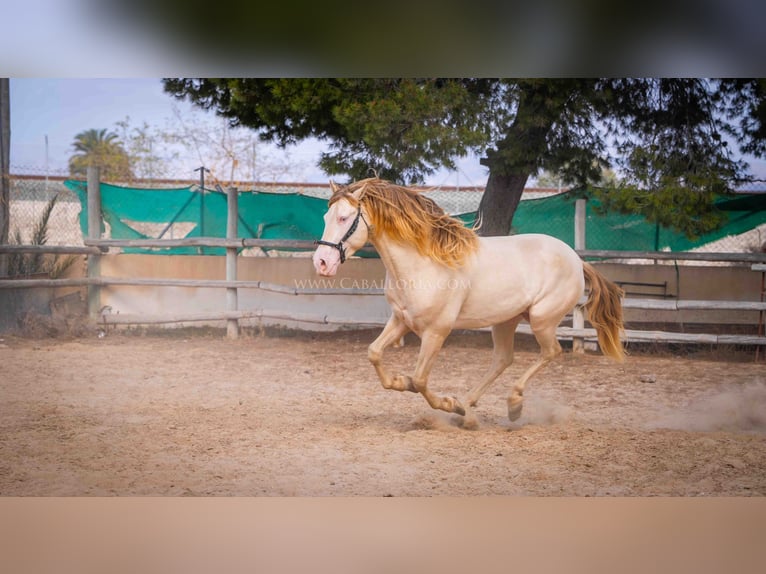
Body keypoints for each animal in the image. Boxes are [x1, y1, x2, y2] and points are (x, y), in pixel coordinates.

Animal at [312, 179, 624, 428]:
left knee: (551, 352)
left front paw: (445, 401)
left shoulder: (436, 332)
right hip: (506, 320)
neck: (423, 263)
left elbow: (420, 380)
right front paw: (403, 383)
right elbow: (375, 353)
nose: (322, 263)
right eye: (326, 216)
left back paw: (511, 404)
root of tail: (576, 259)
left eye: (344, 218)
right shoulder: (401, 320)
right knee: (503, 358)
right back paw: (468, 405)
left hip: (541, 319)